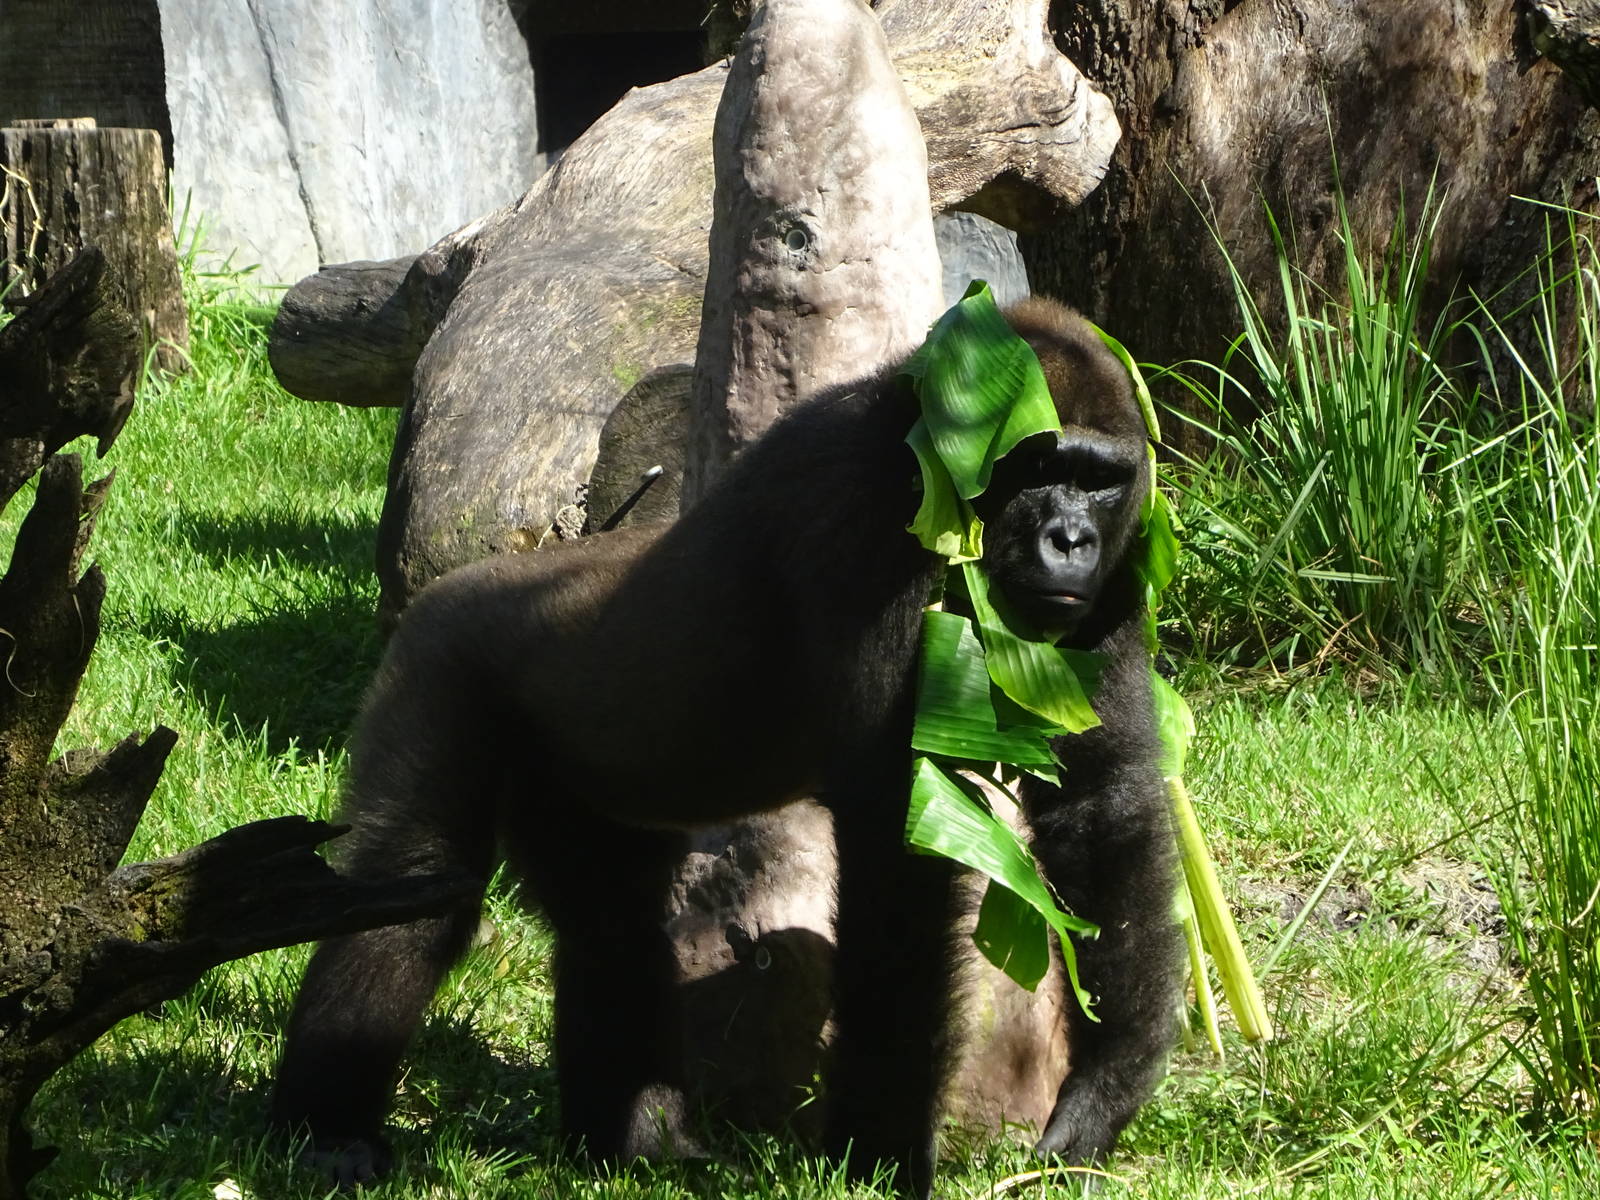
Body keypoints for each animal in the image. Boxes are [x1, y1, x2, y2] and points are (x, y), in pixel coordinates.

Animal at [269, 297, 1184, 1198]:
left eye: (1100, 480)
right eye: (1036, 467)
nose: (1071, 541)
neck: (925, 435)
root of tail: (443, 585)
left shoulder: (1120, 561)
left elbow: (1102, 805)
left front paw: (1100, 1094)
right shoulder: (868, 510)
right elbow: (897, 852)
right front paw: (883, 1150)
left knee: (608, 923)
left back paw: (632, 1143)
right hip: (438, 660)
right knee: (412, 886)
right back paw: (327, 1130)